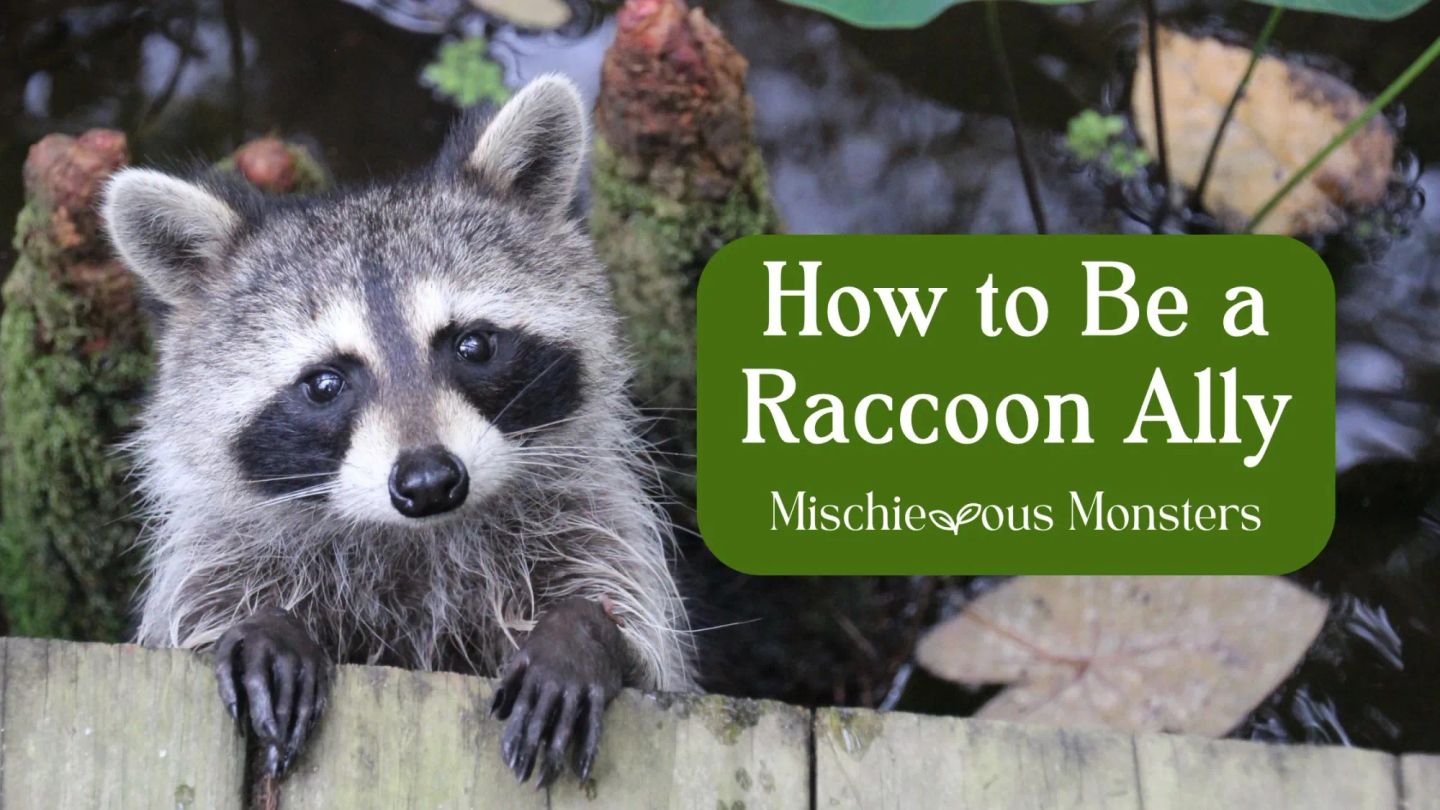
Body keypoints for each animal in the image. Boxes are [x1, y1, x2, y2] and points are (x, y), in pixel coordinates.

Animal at [100, 76, 694, 786]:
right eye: (325, 384)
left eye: (473, 345)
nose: (430, 481)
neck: (419, 541)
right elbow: (201, 608)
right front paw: (264, 624)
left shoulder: (584, 517)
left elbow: (639, 637)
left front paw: (580, 631)